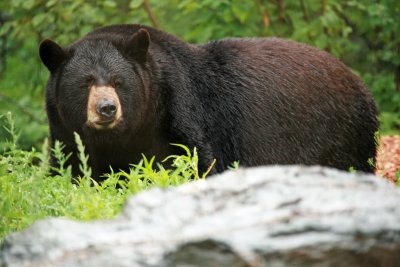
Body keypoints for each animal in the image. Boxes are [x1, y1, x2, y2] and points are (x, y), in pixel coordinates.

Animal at [38, 24, 378, 182]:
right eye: (85, 82)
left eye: (119, 82)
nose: (107, 108)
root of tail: (359, 82)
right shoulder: (65, 134)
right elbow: (70, 168)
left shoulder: (183, 113)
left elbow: (194, 162)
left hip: (341, 136)